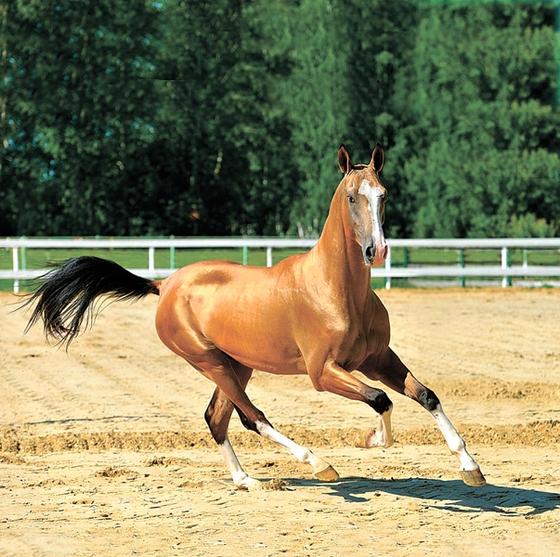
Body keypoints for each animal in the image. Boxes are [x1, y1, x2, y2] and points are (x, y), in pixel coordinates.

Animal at [19, 146, 486, 488]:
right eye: (353, 196)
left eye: (383, 194)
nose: (378, 250)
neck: (335, 290)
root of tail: (164, 285)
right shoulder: (323, 372)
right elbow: (379, 400)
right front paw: (372, 440)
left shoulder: (377, 359)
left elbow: (426, 396)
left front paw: (471, 467)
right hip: (209, 361)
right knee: (251, 417)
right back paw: (317, 464)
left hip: (236, 364)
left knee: (217, 418)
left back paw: (246, 480)